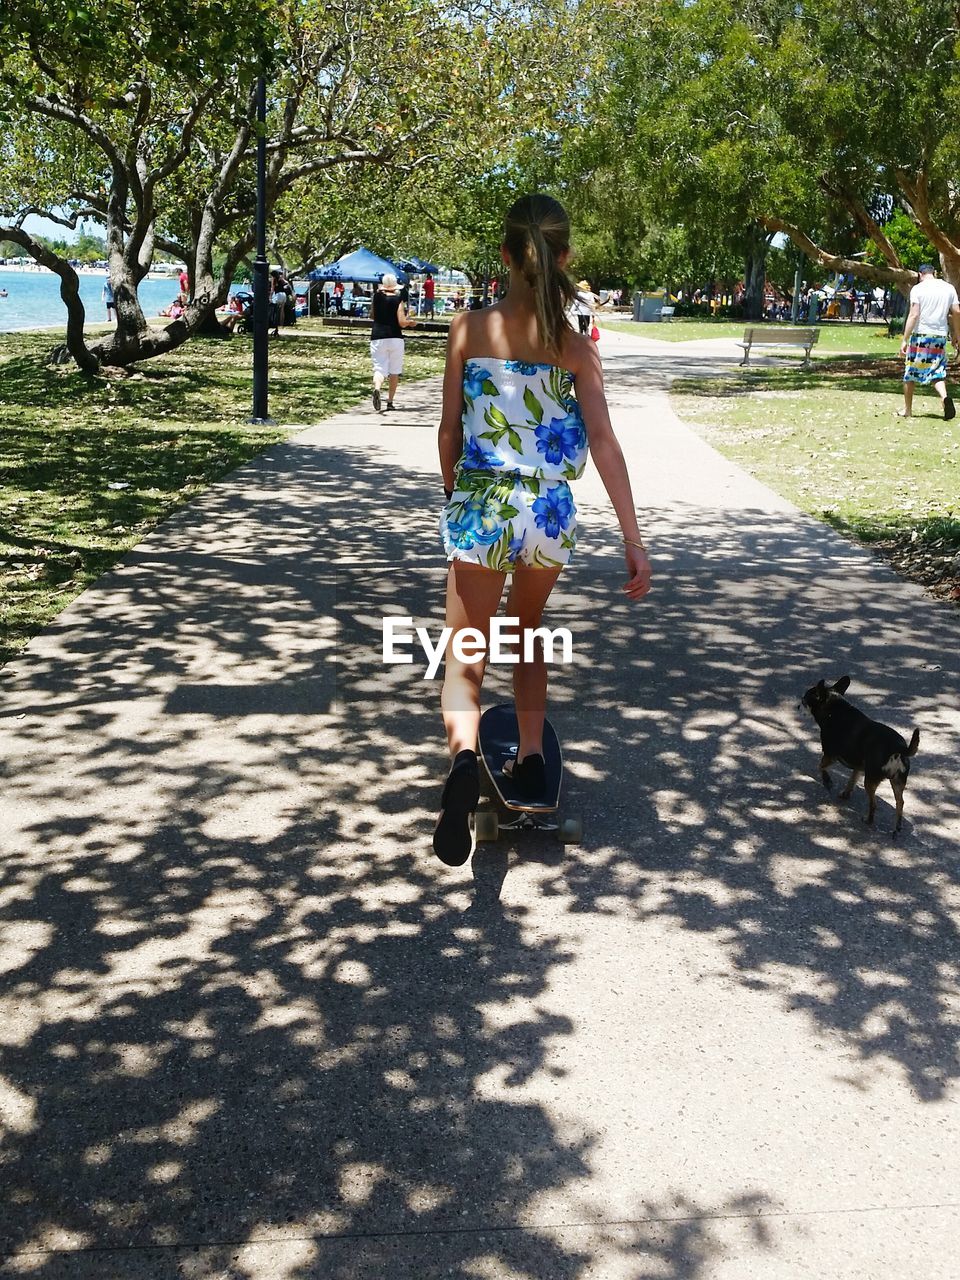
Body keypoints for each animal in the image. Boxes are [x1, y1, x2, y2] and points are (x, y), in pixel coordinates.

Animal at [798, 675, 921, 834]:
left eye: (804, 701)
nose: (798, 706)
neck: (834, 711)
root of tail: (898, 748)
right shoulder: (859, 765)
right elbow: (852, 779)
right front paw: (846, 793)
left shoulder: (830, 755)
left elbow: (821, 766)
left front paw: (827, 781)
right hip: (897, 782)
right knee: (900, 802)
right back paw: (897, 826)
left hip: (870, 780)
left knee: (874, 804)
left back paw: (869, 820)